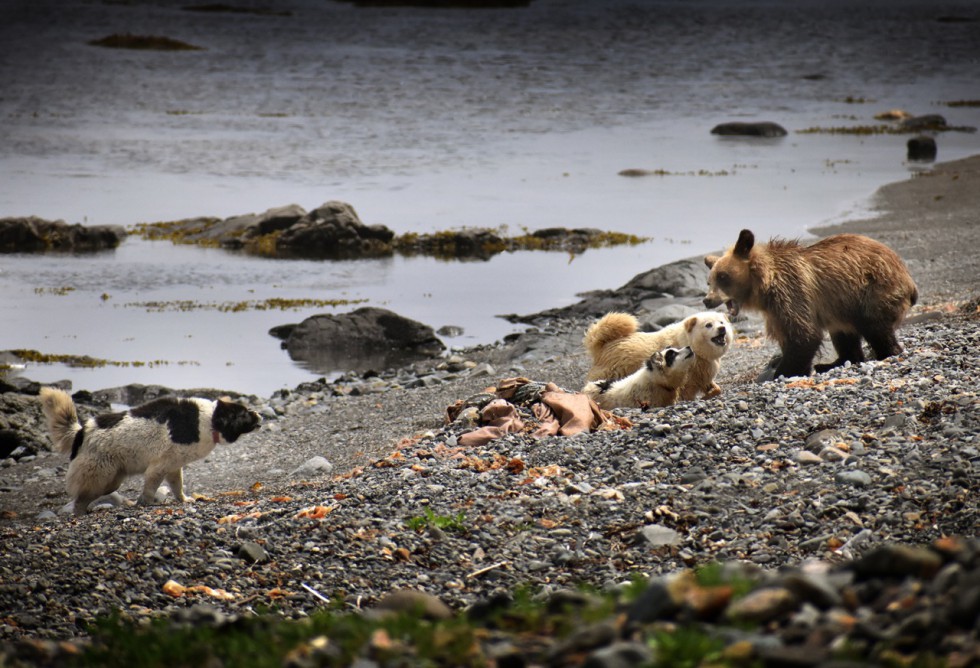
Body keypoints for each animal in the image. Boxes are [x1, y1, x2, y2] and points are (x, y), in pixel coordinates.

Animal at [39, 388, 260, 516]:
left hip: (112, 479)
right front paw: (145, 503)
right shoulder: (158, 466)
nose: (260, 416)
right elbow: (150, 488)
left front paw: (184, 500)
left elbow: (177, 486)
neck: (209, 419)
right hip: (100, 476)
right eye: (242, 413)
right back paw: (80, 514)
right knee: (81, 498)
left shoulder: (173, 466)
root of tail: (80, 431)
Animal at [584, 310, 732, 400]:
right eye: (708, 325)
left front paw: (710, 394)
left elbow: (716, 388)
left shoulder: (701, 375)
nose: (722, 329)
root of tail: (602, 346)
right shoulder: (686, 382)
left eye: (721, 322)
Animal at [704, 230, 920, 378]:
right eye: (710, 280)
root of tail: (908, 277)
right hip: (843, 304)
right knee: (843, 333)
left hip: (872, 289)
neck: (764, 283)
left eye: (723, 276)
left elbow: (804, 335)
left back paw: (887, 352)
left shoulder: (791, 290)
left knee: (874, 326)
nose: (707, 300)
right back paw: (834, 363)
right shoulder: (775, 310)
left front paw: (783, 371)